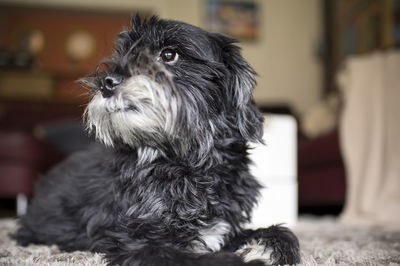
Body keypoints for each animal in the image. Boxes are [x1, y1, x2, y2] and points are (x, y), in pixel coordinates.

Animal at [14, 15, 300, 264]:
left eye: (169, 55)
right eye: (123, 53)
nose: (106, 82)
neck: (190, 166)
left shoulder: (224, 227)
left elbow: (283, 233)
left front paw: (265, 247)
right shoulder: (137, 243)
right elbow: (200, 260)